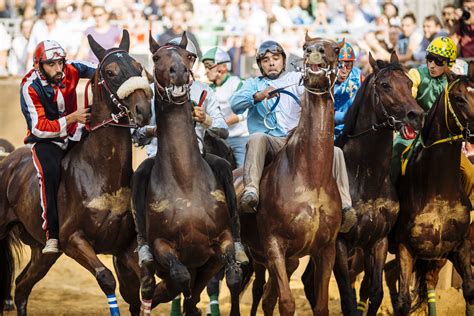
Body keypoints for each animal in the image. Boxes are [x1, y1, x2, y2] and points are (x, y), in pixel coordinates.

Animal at [0, 30, 152, 316]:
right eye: (111, 72)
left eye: (139, 67)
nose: (144, 111)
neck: (102, 175)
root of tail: (7, 163)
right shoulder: (72, 239)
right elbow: (106, 278)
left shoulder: (125, 248)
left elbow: (143, 288)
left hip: (44, 252)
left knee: (22, 286)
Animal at [135, 32, 243, 316]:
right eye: (156, 57)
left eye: (188, 56)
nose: (180, 72)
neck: (185, 180)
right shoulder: (163, 246)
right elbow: (181, 280)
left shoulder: (221, 242)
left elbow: (233, 277)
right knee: (152, 287)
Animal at [298, 52, 424, 314]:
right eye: (385, 85)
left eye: (409, 83)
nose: (416, 116)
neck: (366, 181)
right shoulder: (340, 244)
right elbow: (347, 298)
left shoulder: (377, 241)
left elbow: (374, 294)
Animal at [388, 63, 474, 314]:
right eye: (459, 98)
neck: (439, 193)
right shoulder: (405, 248)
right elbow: (403, 301)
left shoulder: (458, 247)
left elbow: (469, 290)